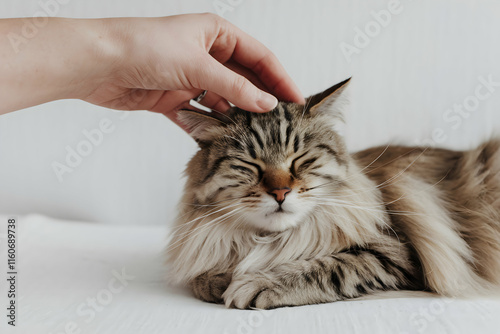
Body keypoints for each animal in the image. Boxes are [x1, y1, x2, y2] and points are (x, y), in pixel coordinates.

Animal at [166, 79, 500, 310]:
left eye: (300, 159)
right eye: (250, 165)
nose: (280, 192)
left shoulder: (397, 253)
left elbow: (328, 267)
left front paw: (256, 282)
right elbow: (205, 274)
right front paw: (219, 279)